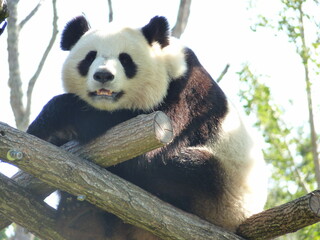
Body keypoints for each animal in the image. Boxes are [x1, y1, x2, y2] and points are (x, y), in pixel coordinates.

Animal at [26, 15, 268, 239]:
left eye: (125, 59)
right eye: (90, 57)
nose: (103, 75)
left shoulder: (187, 96)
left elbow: (145, 151)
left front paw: (49, 120)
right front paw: (57, 134)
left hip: (222, 191)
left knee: (187, 167)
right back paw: (77, 214)